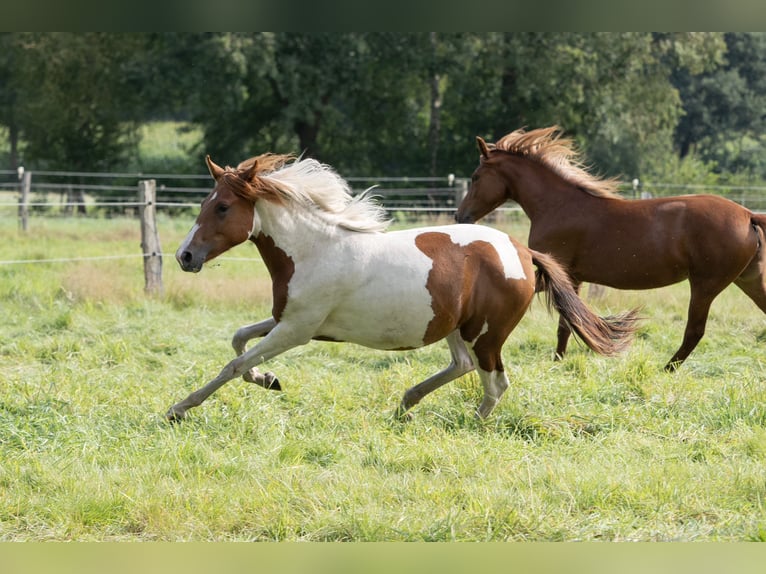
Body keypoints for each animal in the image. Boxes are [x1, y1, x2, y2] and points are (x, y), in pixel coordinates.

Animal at [168, 153, 640, 424]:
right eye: (206, 203)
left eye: (222, 207)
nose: (184, 256)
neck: (315, 248)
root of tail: (523, 252)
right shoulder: (289, 320)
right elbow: (239, 340)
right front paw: (269, 380)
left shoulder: (297, 330)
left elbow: (233, 364)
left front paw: (179, 408)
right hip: (455, 327)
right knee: (462, 366)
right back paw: (404, 405)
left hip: (486, 334)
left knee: (494, 383)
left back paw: (467, 423)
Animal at [452, 126, 766, 372]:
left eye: (476, 177)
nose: (460, 216)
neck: (557, 206)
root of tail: (748, 214)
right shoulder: (572, 277)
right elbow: (567, 322)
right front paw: (559, 361)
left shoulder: (554, 272)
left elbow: (566, 320)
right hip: (747, 279)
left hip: (705, 285)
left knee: (694, 331)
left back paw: (666, 369)